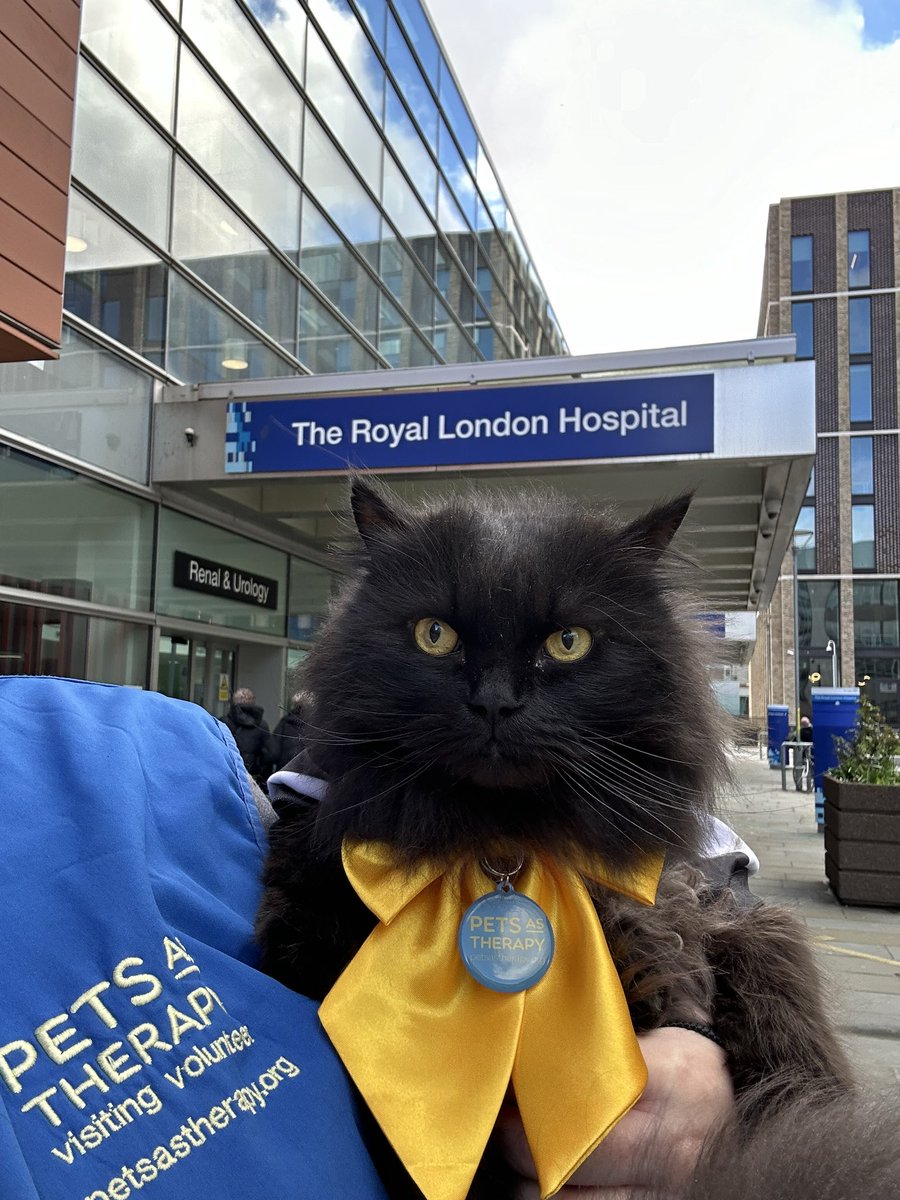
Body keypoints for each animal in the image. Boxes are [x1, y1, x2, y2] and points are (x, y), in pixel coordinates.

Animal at [256, 482, 854, 1200]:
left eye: (568, 642)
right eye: (435, 635)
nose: (494, 703)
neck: (510, 842)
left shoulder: (707, 907)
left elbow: (777, 997)